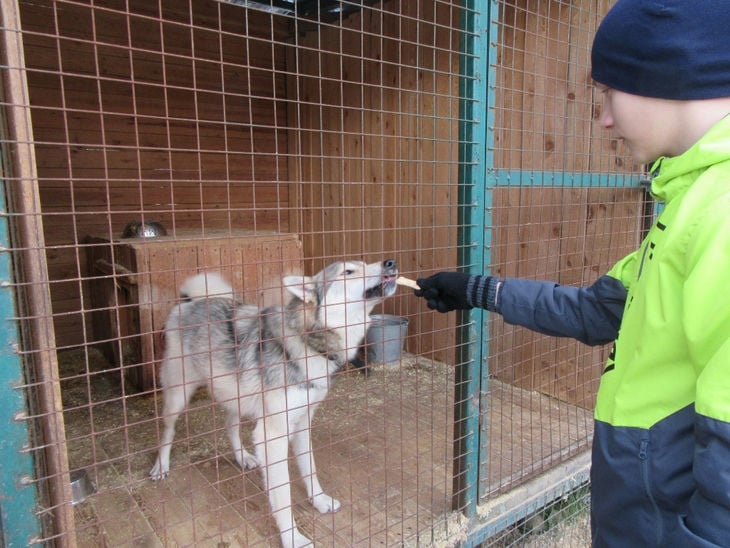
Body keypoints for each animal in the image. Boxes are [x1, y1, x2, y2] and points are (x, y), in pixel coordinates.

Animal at [149, 260, 398, 544]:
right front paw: (292, 538)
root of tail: (193, 301)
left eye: (365, 264)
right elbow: (283, 495)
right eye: (348, 272)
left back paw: (243, 458)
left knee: (230, 426)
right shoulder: (273, 436)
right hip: (178, 396)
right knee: (168, 431)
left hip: (236, 396)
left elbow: (310, 469)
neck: (307, 342)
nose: (390, 262)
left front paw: (319, 501)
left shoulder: (301, 424)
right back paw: (161, 466)